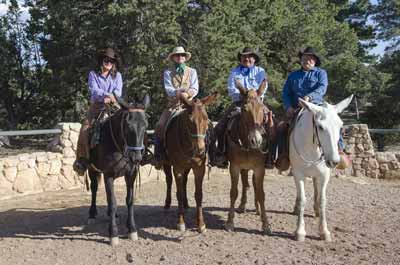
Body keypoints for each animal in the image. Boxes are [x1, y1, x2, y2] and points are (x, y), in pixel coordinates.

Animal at [87, 94, 150, 244]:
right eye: (127, 126)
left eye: (146, 125)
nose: (136, 157)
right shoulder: (108, 175)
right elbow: (113, 202)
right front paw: (113, 234)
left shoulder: (131, 174)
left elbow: (130, 200)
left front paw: (132, 229)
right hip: (92, 170)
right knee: (94, 189)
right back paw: (92, 214)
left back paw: (113, 215)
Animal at [162, 92, 219, 231]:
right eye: (189, 120)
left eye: (206, 118)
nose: (200, 149)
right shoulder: (177, 168)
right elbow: (179, 194)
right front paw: (181, 222)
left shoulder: (199, 168)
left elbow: (198, 194)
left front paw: (201, 224)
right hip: (167, 164)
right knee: (169, 181)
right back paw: (167, 204)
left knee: (184, 182)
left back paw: (187, 204)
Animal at [223, 81, 274, 234]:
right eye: (244, 109)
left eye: (263, 110)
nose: (256, 140)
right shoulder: (234, 167)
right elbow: (234, 192)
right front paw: (230, 222)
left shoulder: (259, 168)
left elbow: (261, 193)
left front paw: (266, 224)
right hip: (243, 168)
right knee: (245, 184)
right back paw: (242, 205)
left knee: (253, 186)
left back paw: (257, 209)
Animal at [290, 95, 354, 241]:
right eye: (320, 126)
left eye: (340, 125)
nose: (334, 161)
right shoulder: (298, 174)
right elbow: (302, 199)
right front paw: (300, 231)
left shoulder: (324, 175)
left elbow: (322, 200)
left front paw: (324, 231)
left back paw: (317, 211)